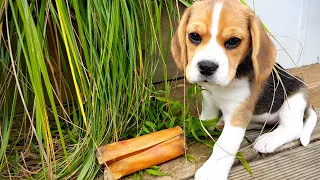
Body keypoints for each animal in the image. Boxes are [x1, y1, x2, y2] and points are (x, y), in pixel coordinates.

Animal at [171, 0, 316, 179]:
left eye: (233, 41)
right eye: (194, 36)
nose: (206, 67)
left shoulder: (238, 112)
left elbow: (225, 145)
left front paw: (213, 171)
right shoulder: (209, 97)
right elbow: (207, 116)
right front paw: (200, 126)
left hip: (295, 100)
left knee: (293, 128)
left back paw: (269, 139)